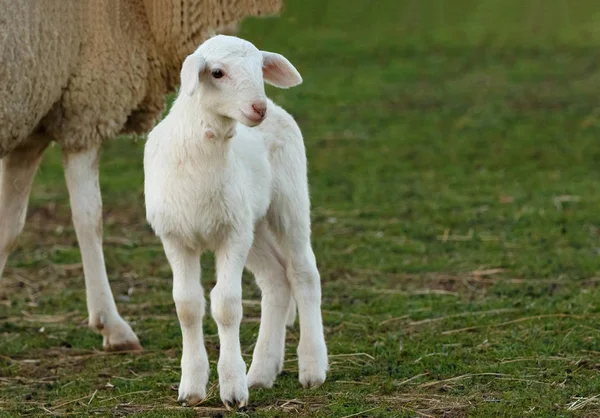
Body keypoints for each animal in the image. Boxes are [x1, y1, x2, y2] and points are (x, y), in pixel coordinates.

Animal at [0, 0, 284, 352]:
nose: (260, 109)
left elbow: (9, 228)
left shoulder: (31, 124)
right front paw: (112, 325)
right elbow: (89, 220)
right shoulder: (85, 109)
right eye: (217, 73)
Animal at [144, 35, 328, 408]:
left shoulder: (231, 235)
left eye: (260, 67)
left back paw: (312, 367)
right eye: (217, 72)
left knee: (304, 274)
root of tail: (279, 108)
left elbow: (226, 306)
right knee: (276, 281)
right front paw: (192, 389)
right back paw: (261, 372)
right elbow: (187, 305)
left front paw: (232, 389)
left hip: (287, 202)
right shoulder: (176, 237)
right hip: (252, 226)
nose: (259, 108)